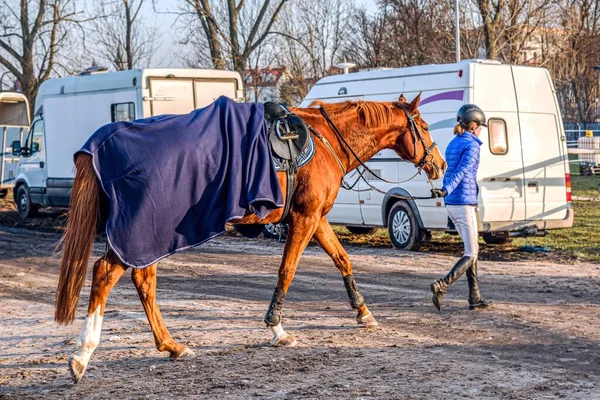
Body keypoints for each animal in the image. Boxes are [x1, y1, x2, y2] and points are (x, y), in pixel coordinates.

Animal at [54, 92, 446, 382]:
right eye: (425, 126)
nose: (439, 164)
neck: (326, 140)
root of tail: (102, 144)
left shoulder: (317, 218)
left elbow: (342, 259)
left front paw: (363, 312)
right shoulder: (304, 219)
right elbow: (287, 270)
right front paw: (277, 328)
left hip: (149, 237)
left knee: (142, 281)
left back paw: (172, 346)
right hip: (140, 233)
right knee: (105, 273)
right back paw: (83, 353)